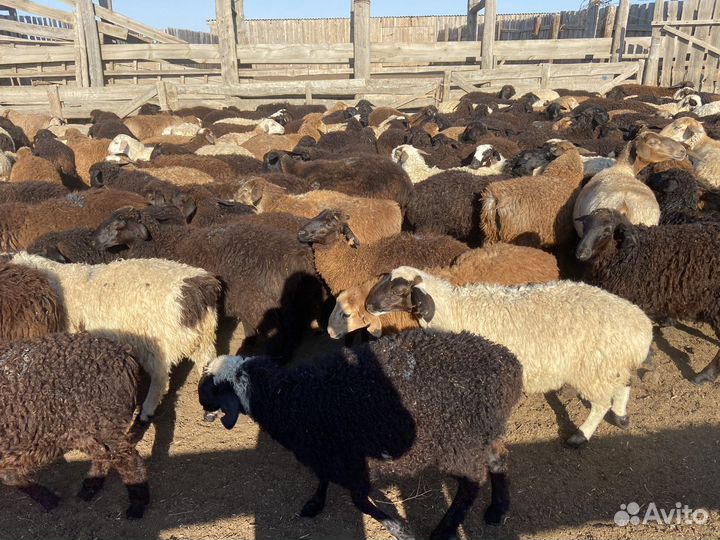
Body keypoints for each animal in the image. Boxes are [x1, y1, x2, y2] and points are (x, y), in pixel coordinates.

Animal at [0, 332, 149, 518]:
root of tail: (123, 353)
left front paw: (48, 499)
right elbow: (9, 476)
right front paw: (49, 500)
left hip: (102, 421)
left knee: (127, 459)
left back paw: (137, 506)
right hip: (86, 429)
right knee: (104, 455)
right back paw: (89, 488)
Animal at [9, 252, 221, 423]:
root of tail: (196, 288)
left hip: (157, 344)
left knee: (160, 380)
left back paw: (146, 413)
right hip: (202, 339)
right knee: (208, 365)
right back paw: (209, 412)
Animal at [199, 328, 523, 540]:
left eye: (210, 390)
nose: (202, 405)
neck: (286, 397)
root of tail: (510, 366)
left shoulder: (349, 459)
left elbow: (359, 501)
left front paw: (400, 530)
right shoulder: (325, 449)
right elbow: (323, 479)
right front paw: (314, 504)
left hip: (458, 441)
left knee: (471, 483)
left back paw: (445, 530)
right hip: (483, 429)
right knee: (499, 458)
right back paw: (498, 509)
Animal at [365, 266, 653, 447]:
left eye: (398, 290)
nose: (368, 305)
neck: (455, 310)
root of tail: (641, 328)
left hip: (595, 367)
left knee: (601, 403)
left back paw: (581, 436)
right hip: (613, 364)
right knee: (625, 384)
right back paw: (621, 417)